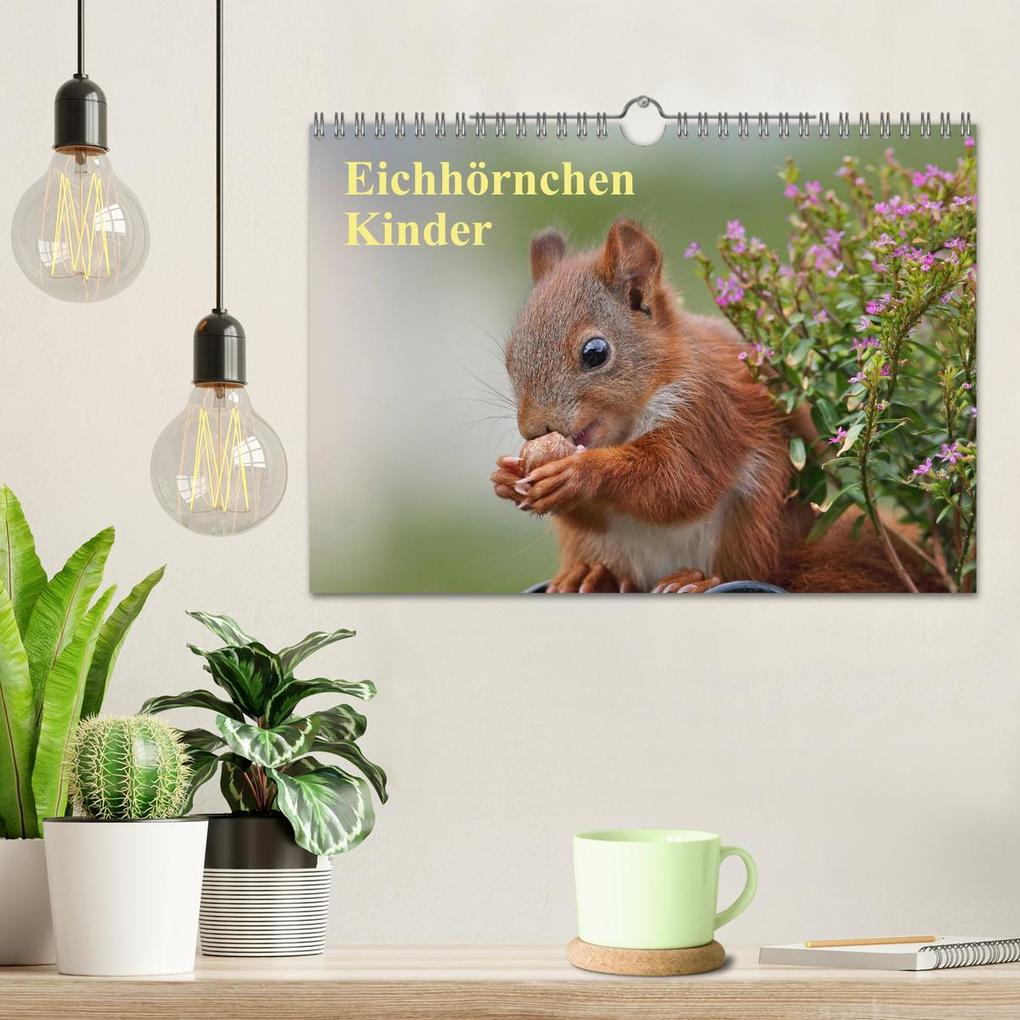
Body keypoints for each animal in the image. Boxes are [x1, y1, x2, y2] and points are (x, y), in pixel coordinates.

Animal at [491, 218, 938, 593]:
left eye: (595, 353)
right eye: (510, 357)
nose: (533, 430)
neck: (628, 423)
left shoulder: (707, 410)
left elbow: (678, 482)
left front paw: (581, 471)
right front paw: (506, 480)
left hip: (751, 523)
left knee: (747, 569)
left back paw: (698, 580)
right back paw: (593, 573)